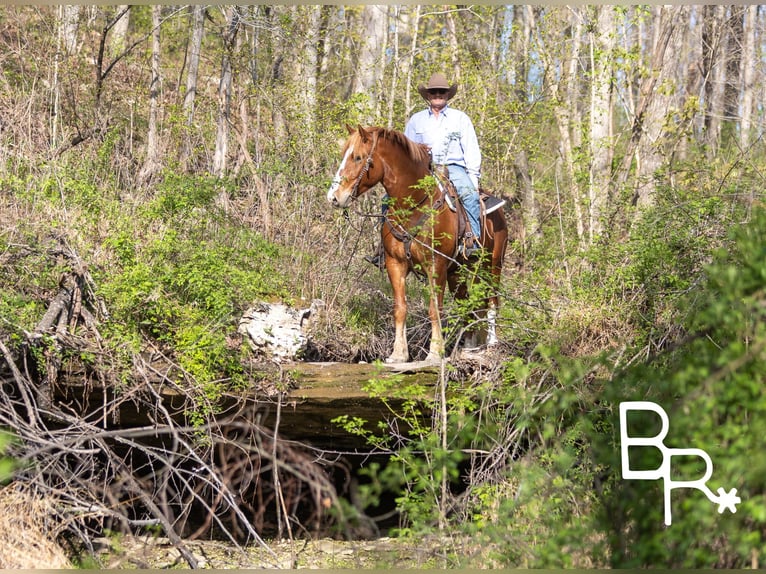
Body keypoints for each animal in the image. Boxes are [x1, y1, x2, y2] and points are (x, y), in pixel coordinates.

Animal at [327, 125, 509, 363]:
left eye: (357, 157)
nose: (334, 197)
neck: (414, 204)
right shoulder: (395, 264)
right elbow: (400, 307)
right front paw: (399, 353)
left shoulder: (436, 265)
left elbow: (434, 309)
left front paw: (434, 353)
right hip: (456, 271)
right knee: (466, 301)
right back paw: (470, 346)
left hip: (492, 266)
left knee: (492, 300)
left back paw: (492, 342)